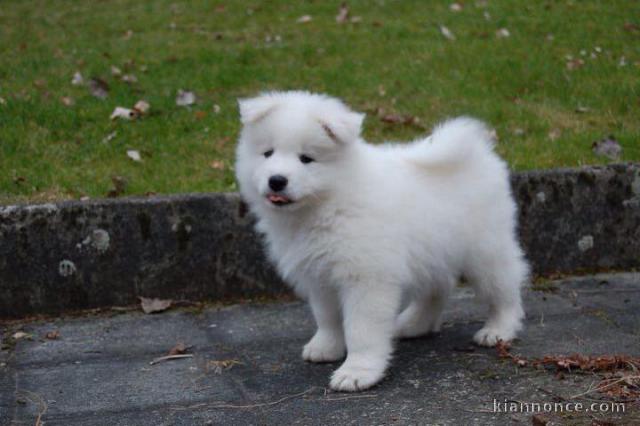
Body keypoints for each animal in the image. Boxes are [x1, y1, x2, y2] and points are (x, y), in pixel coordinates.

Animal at [232, 91, 528, 392]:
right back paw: (414, 324)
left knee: (504, 289)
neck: (329, 202)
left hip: (486, 250)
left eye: (307, 159)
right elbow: (327, 317)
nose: (276, 180)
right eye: (267, 153)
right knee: (437, 287)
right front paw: (326, 347)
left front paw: (357, 372)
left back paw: (498, 329)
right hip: (434, 251)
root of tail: (479, 154)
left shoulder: (366, 278)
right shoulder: (320, 275)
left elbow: (361, 329)